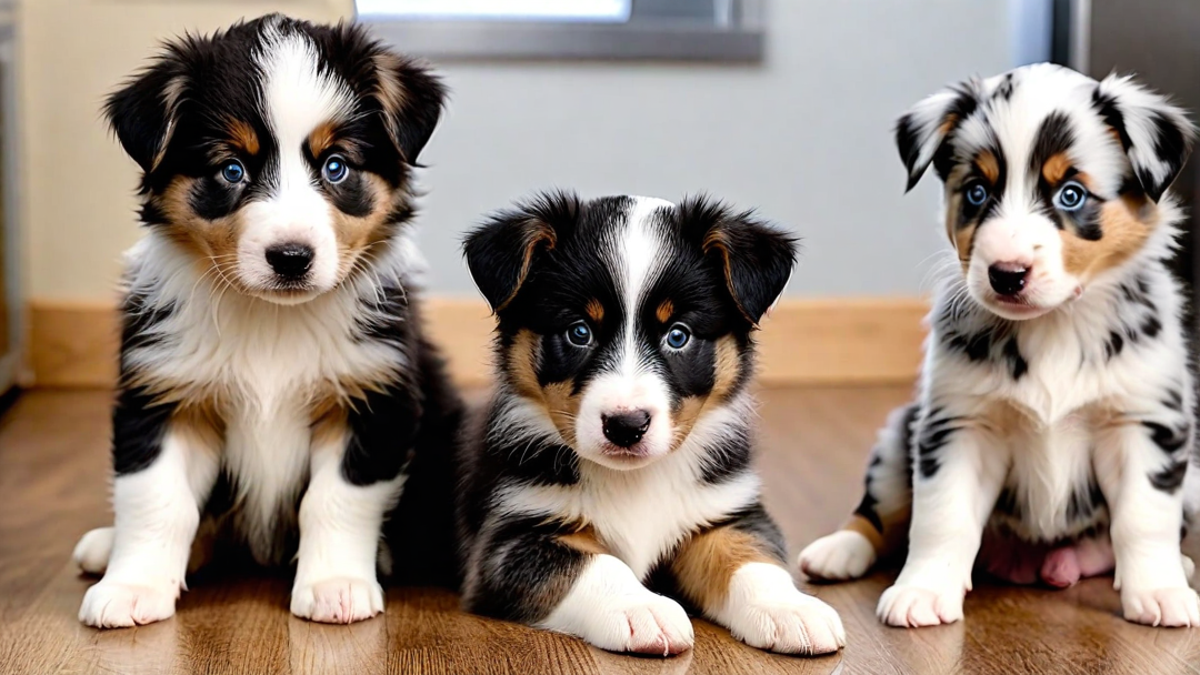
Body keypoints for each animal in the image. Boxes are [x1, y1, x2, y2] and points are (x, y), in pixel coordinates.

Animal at [71, 14, 463, 624]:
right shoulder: (163, 395)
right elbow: (156, 499)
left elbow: (335, 500)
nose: (291, 257)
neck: (271, 320)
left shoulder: (374, 396)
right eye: (231, 170)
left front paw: (335, 586)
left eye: (336, 166)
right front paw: (132, 587)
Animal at [456, 192, 844, 653]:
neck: (636, 481)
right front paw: (640, 607)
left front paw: (790, 608)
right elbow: (593, 564)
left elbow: (751, 555)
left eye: (678, 335)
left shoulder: (726, 510)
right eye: (579, 332)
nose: (626, 425)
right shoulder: (509, 539)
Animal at [796, 63, 1200, 624]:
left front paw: (1160, 591)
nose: (1007, 275)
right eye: (976, 192)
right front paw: (923, 590)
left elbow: (1144, 518)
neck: (1055, 326)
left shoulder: (1145, 421)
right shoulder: (959, 424)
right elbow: (941, 518)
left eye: (1070, 194)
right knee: (881, 512)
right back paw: (838, 551)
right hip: (899, 435)